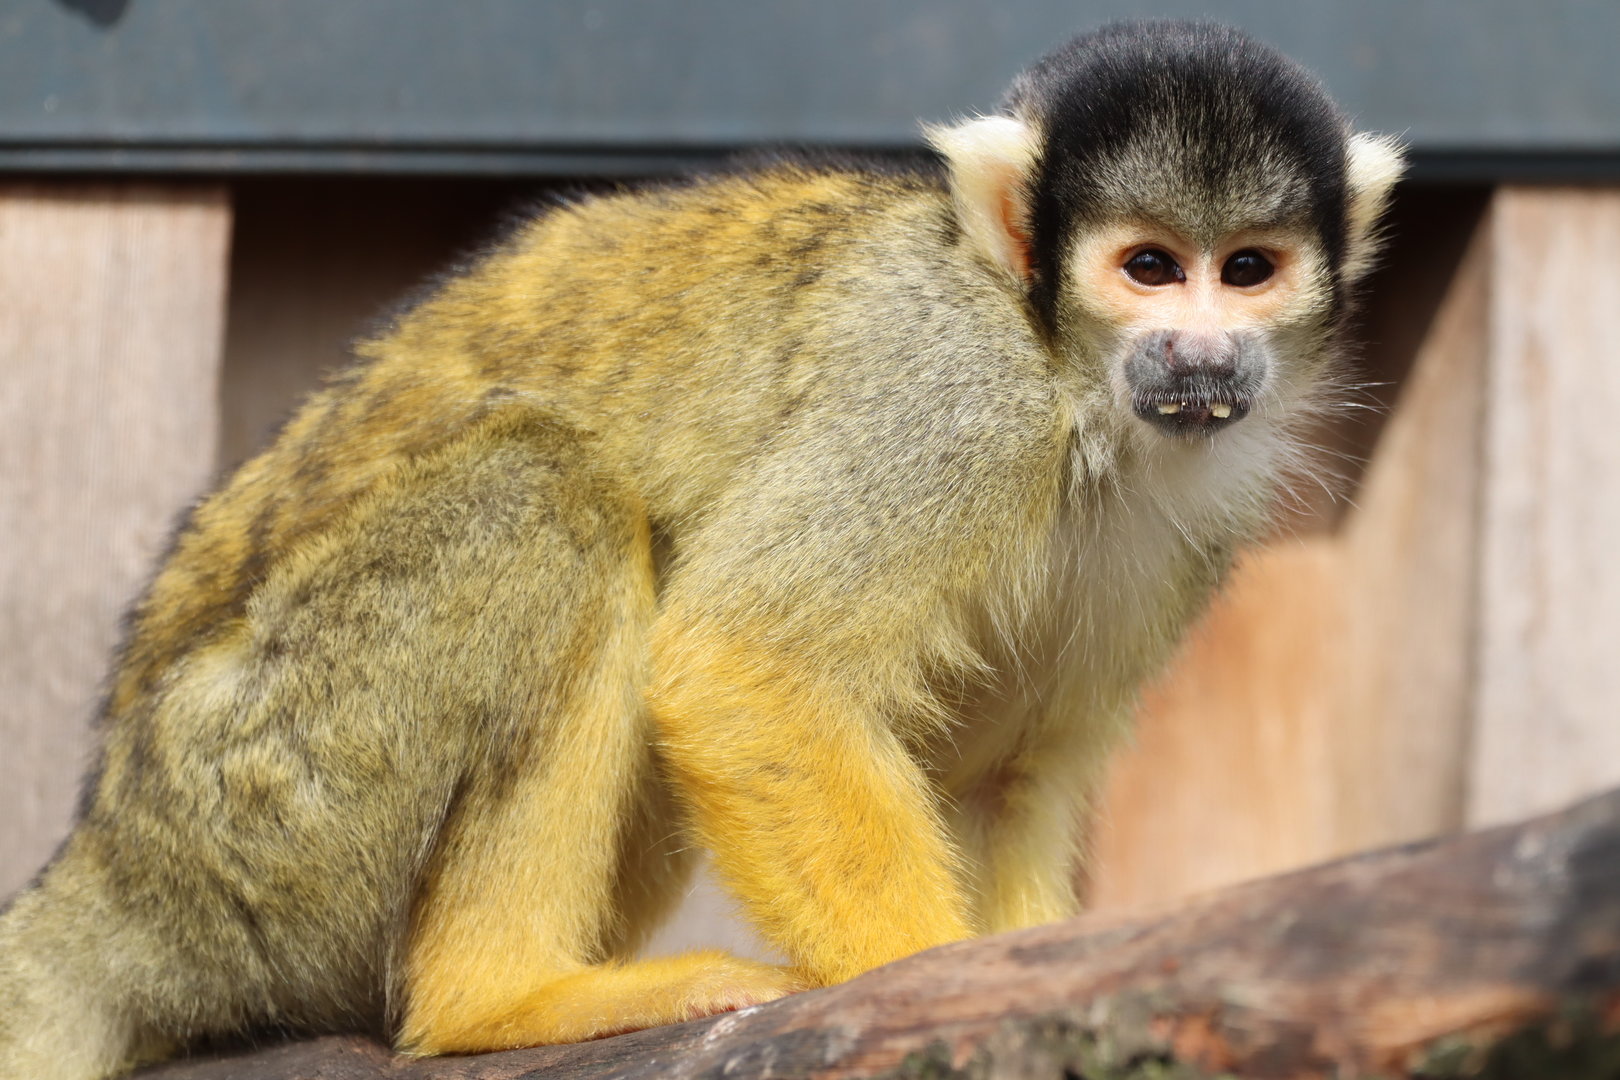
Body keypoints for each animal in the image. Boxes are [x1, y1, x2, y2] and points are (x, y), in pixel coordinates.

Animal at [0, 20, 1403, 1080]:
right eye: (1151, 268)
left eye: (1248, 269)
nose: (1203, 356)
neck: (1077, 388)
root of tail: (101, 866)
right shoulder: (954, 392)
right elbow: (744, 664)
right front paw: (911, 979)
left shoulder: (1196, 516)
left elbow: (1014, 775)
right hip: (255, 807)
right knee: (548, 490)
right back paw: (500, 1001)